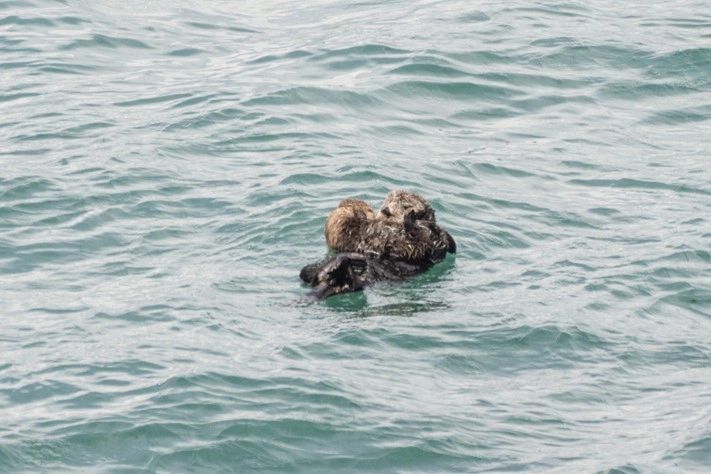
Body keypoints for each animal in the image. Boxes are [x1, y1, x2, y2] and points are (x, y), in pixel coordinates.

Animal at [301, 190, 456, 299]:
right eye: (388, 201)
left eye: (405, 205)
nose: (386, 210)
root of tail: (333, 284)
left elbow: (435, 244)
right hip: (316, 269)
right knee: (308, 273)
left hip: (352, 283)